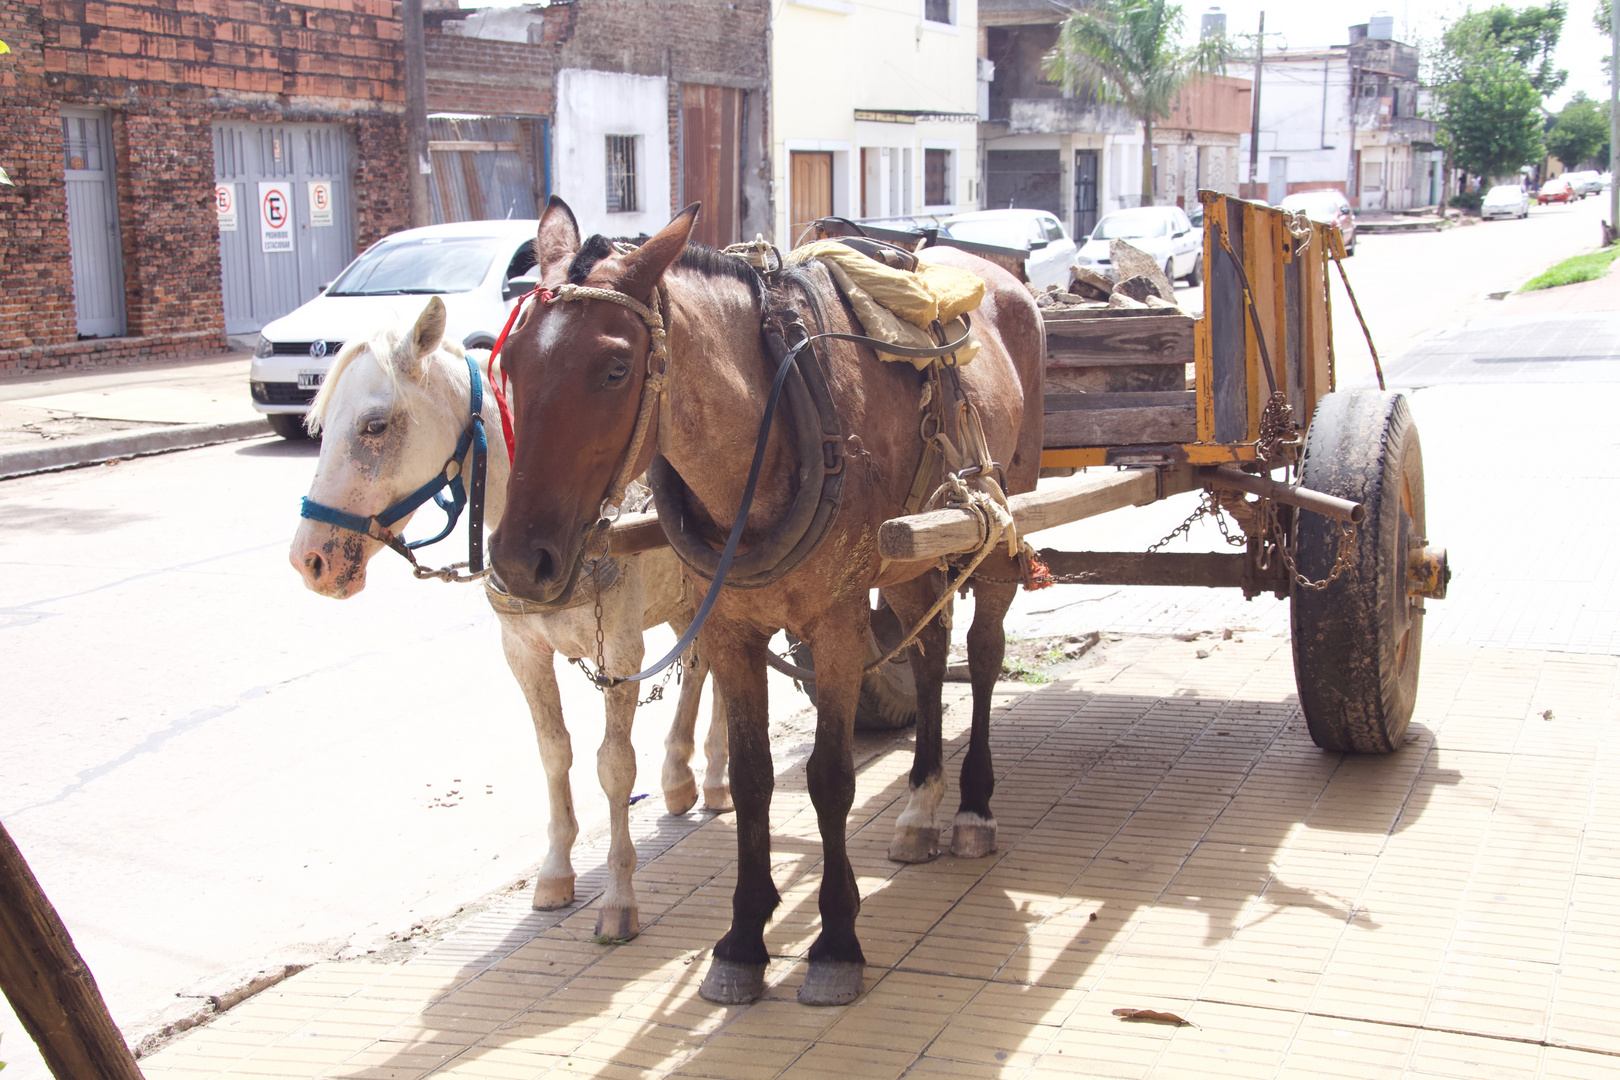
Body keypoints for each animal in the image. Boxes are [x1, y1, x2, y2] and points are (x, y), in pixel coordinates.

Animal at [288, 296, 725, 939]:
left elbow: (615, 765)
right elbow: (555, 752)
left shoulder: (620, 649)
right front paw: (556, 872)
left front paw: (619, 894)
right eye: (320, 428)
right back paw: (680, 777)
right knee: (700, 667)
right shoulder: (522, 652)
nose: (309, 558)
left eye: (374, 426)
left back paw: (714, 775)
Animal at [492, 198, 1043, 1010]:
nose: (517, 562)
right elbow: (753, 780)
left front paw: (836, 941)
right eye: (509, 364)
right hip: (913, 548)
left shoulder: (838, 626)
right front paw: (745, 939)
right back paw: (920, 808)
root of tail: (998, 274)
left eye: (615, 368)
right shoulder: (728, 629)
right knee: (928, 645)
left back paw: (972, 806)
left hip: (1002, 520)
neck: (782, 420)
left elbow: (830, 778)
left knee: (980, 655)